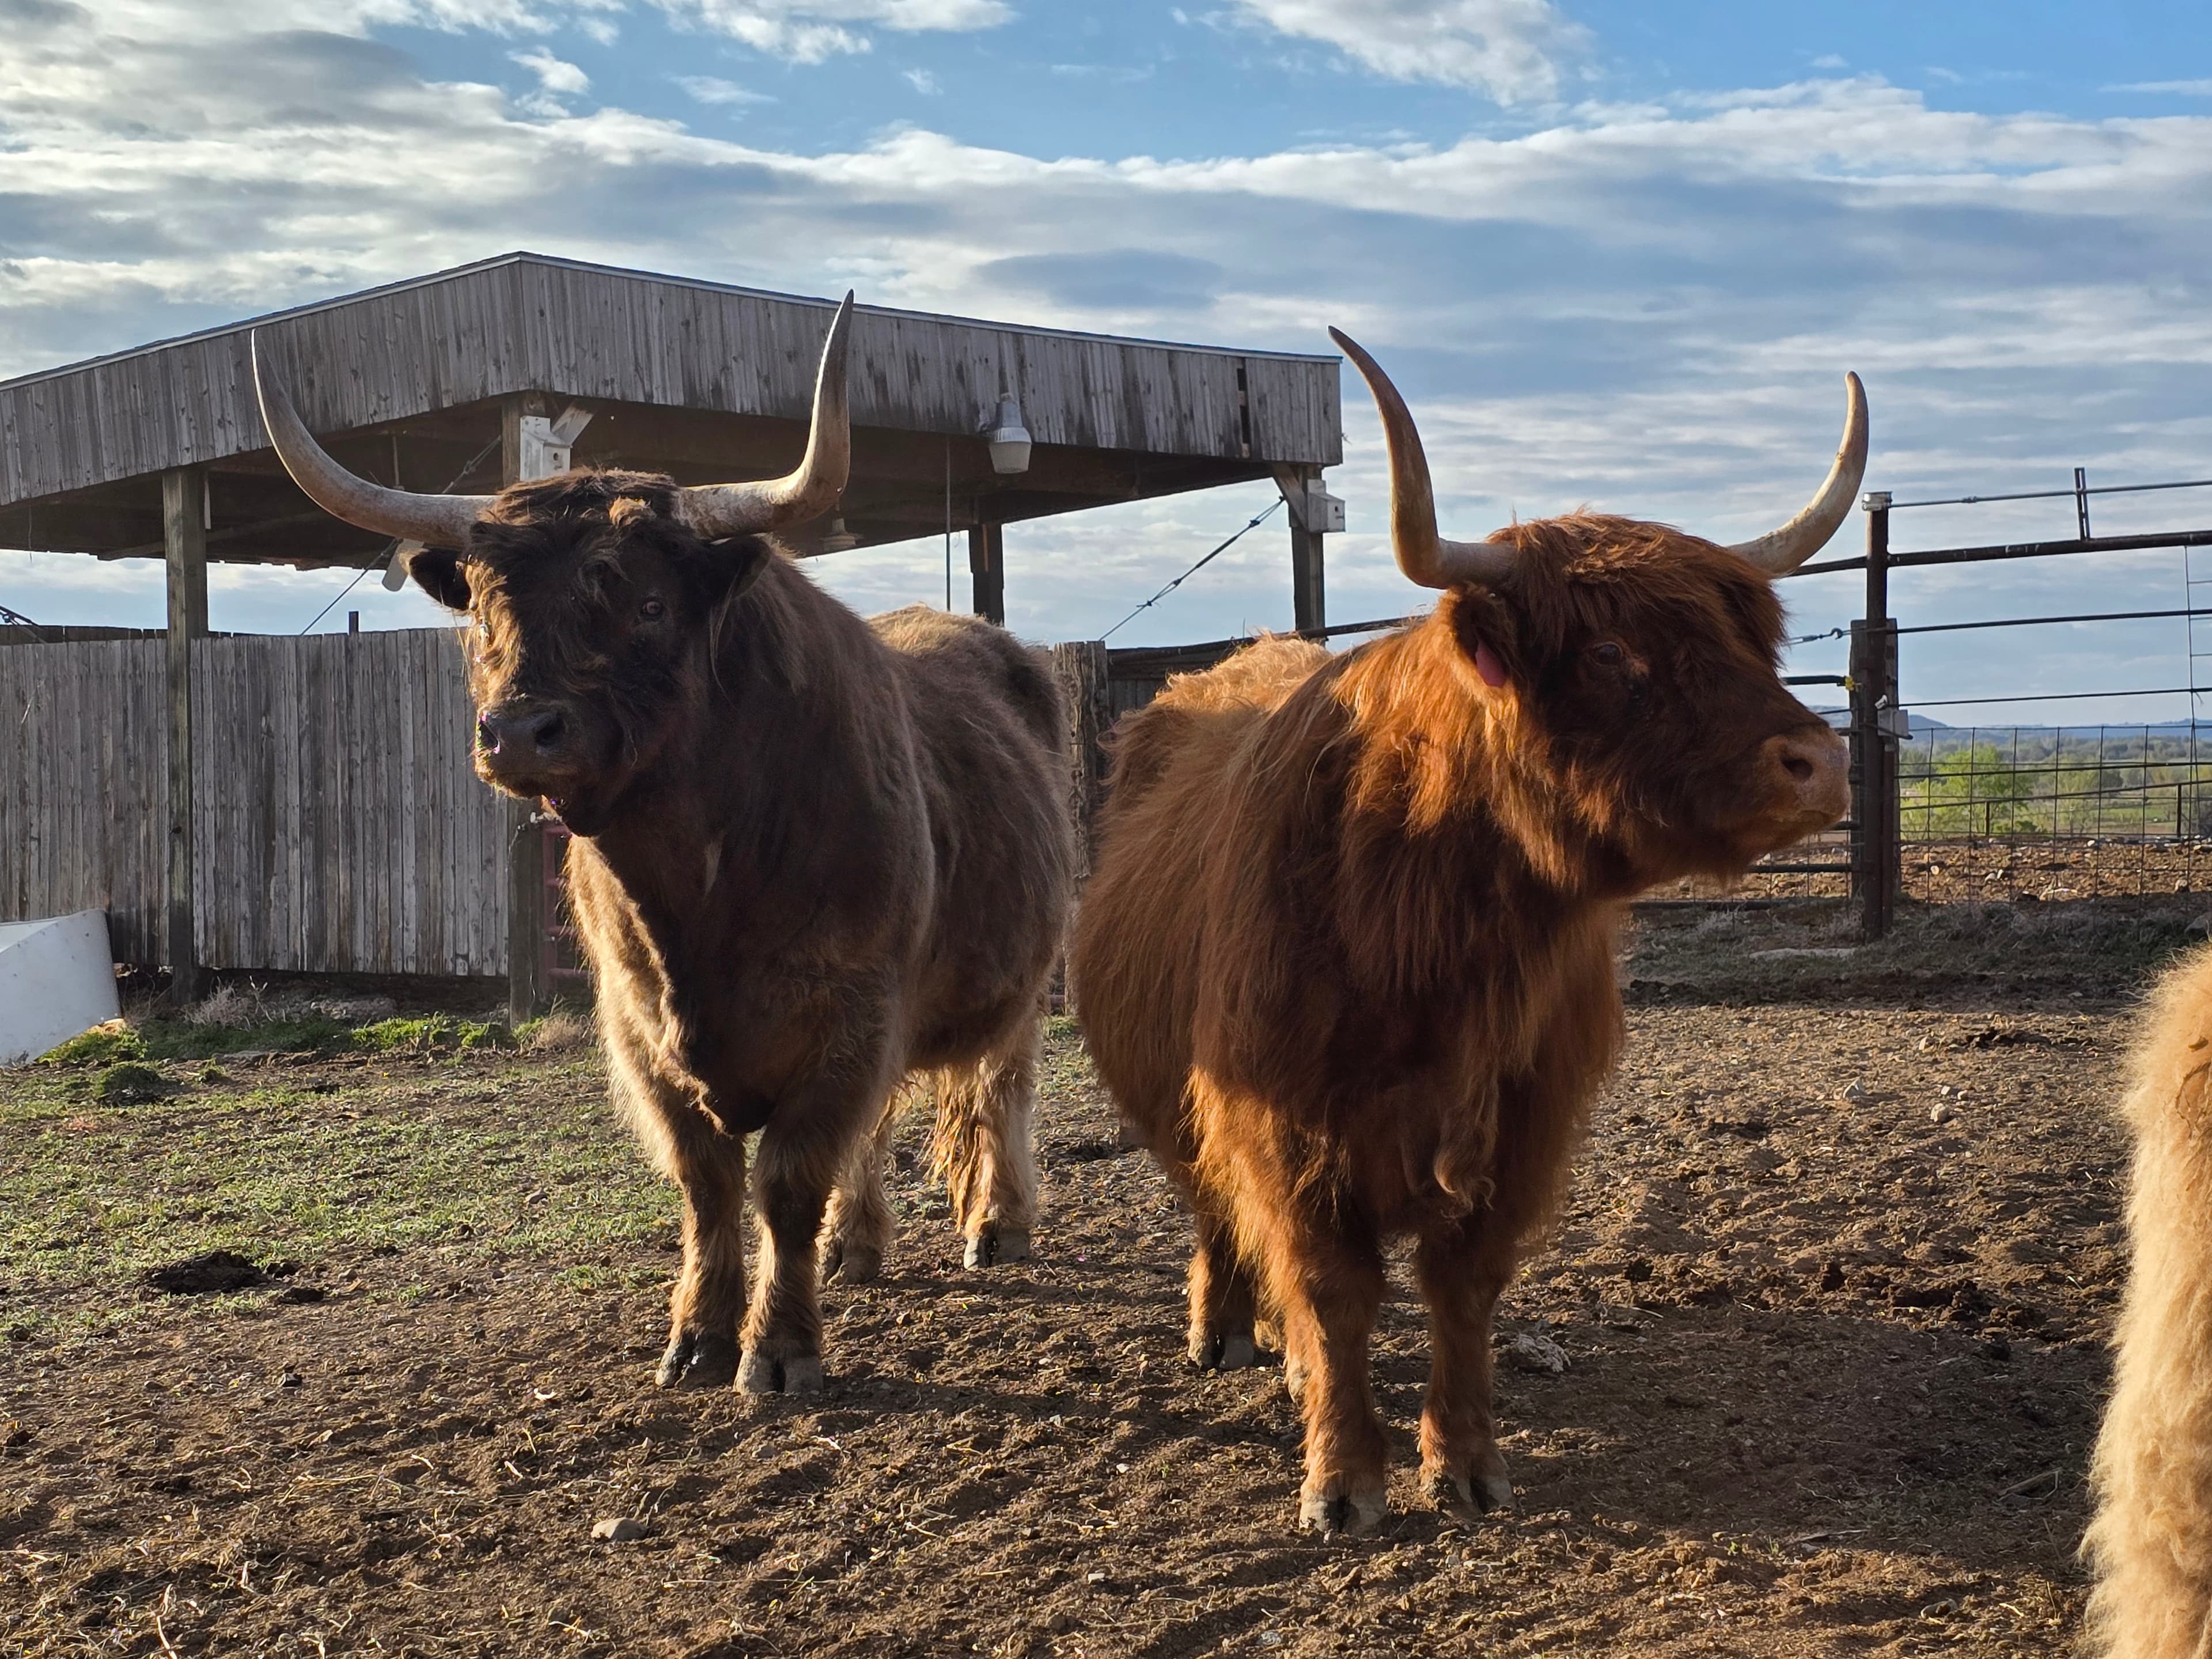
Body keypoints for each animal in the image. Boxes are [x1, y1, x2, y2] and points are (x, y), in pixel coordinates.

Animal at [252, 298, 1076, 1395]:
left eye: (646, 602)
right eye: (486, 608)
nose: (519, 732)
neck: (696, 891)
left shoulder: (852, 1011)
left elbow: (787, 1179)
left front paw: (779, 1351)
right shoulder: (641, 1027)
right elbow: (708, 1183)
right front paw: (698, 1337)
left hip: (1022, 977)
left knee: (1001, 1085)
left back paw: (998, 1223)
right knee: (887, 1125)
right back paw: (856, 1246)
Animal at [1070, 329, 1862, 1534]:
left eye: (1750, 641)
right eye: (1612, 655)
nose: (1821, 762)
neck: (1437, 938)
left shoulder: (1528, 1115)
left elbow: (1462, 1286)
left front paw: (1466, 1462)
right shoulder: (1276, 1112)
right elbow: (1331, 1283)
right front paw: (1343, 1478)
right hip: (1177, 1094)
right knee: (1217, 1210)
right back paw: (1227, 1333)